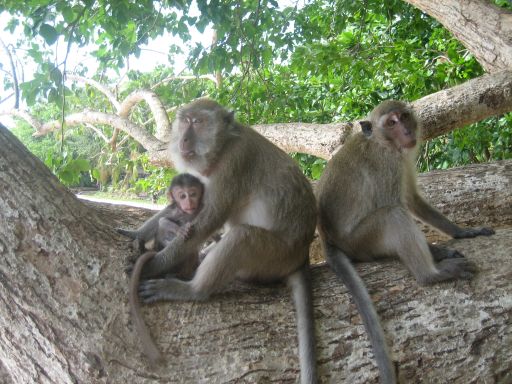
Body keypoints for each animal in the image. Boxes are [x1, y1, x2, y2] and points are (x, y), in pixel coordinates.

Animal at [316, 100, 496, 382]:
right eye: (391, 123)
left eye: (403, 117)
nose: (407, 131)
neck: (384, 143)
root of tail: (327, 239)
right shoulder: (388, 165)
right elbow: (399, 204)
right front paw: (438, 251)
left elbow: (412, 199)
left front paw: (461, 232)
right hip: (363, 240)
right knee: (393, 215)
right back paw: (431, 274)